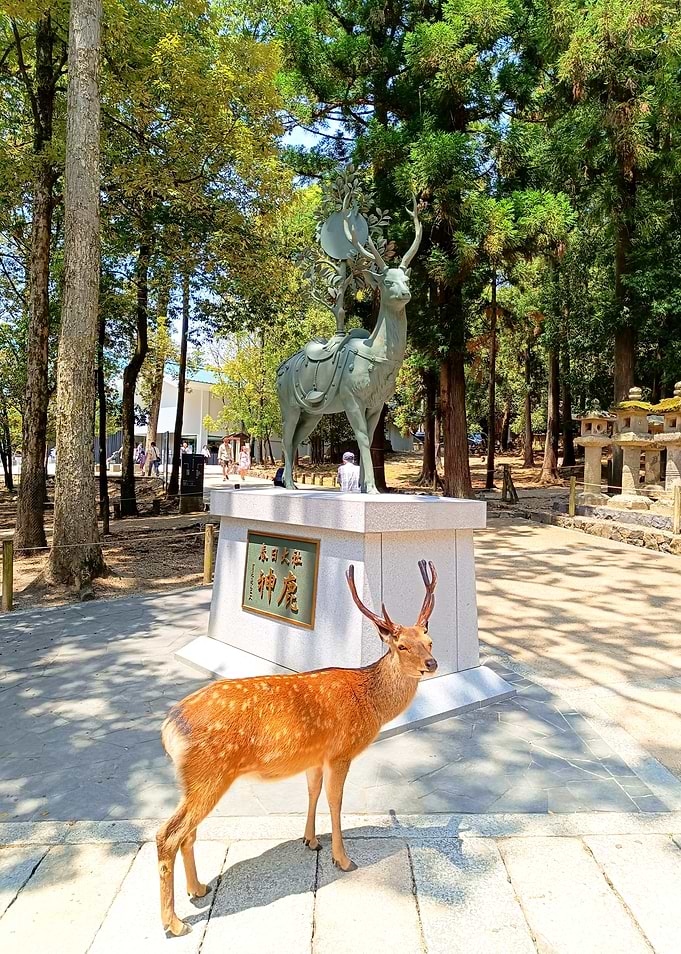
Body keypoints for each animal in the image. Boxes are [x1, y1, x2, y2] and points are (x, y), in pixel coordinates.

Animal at [156, 560, 438, 936]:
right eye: (402, 646)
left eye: (429, 641)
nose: (432, 663)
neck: (370, 704)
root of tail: (169, 727)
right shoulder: (340, 751)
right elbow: (335, 801)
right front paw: (343, 859)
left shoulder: (315, 756)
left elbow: (313, 792)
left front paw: (311, 841)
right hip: (209, 775)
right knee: (168, 834)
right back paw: (174, 922)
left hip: (193, 781)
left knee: (187, 833)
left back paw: (198, 888)